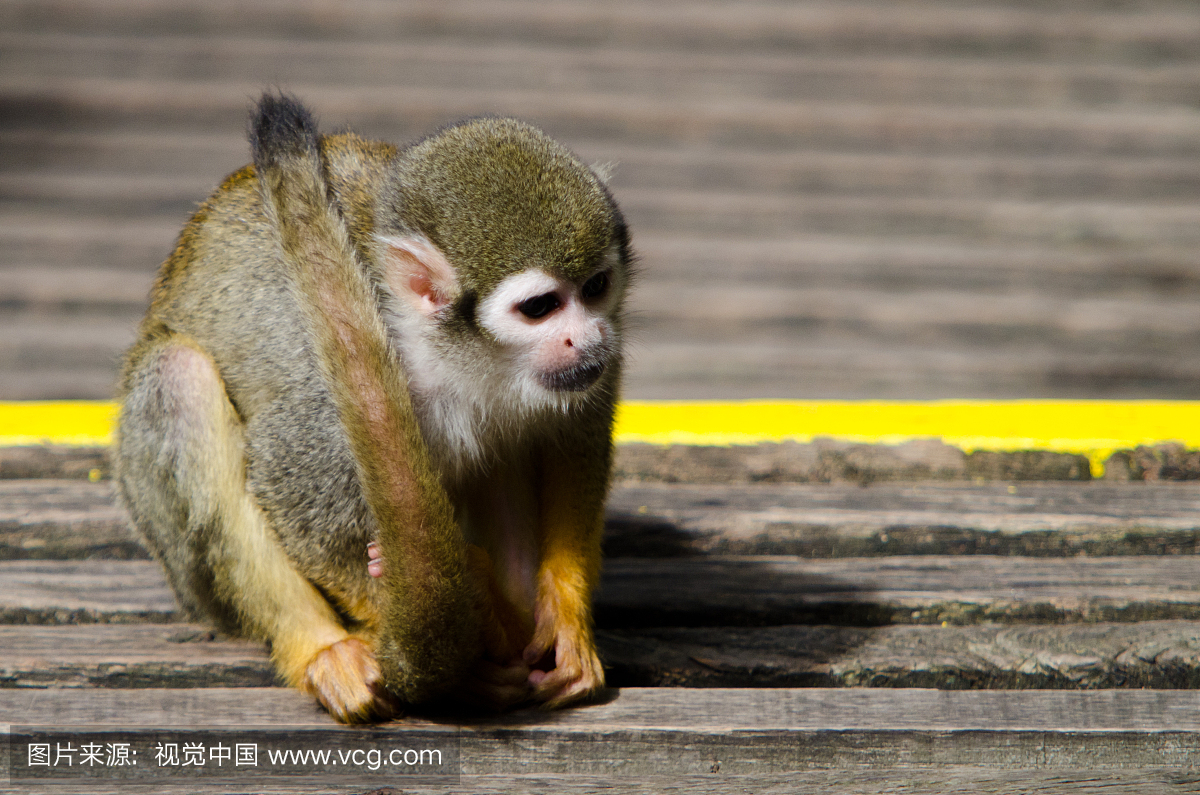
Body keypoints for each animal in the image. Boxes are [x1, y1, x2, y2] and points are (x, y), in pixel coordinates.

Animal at [115, 93, 633, 720]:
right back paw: (326, 645)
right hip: (179, 559)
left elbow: (573, 444)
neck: (445, 351)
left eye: (596, 286)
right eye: (540, 307)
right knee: (177, 378)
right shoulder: (325, 394)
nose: (590, 338)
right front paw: (450, 650)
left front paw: (564, 620)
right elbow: (295, 486)